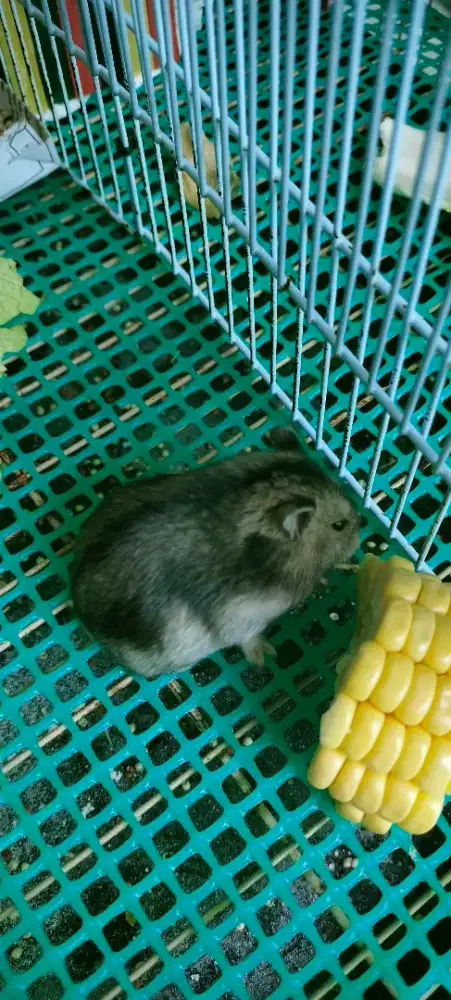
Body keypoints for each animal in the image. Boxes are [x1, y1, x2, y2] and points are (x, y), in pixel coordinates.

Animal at [71, 427, 360, 677]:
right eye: (339, 525)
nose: (359, 533)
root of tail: (79, 606)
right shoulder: (243, 620)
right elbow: (249, 640)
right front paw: (265, 656)